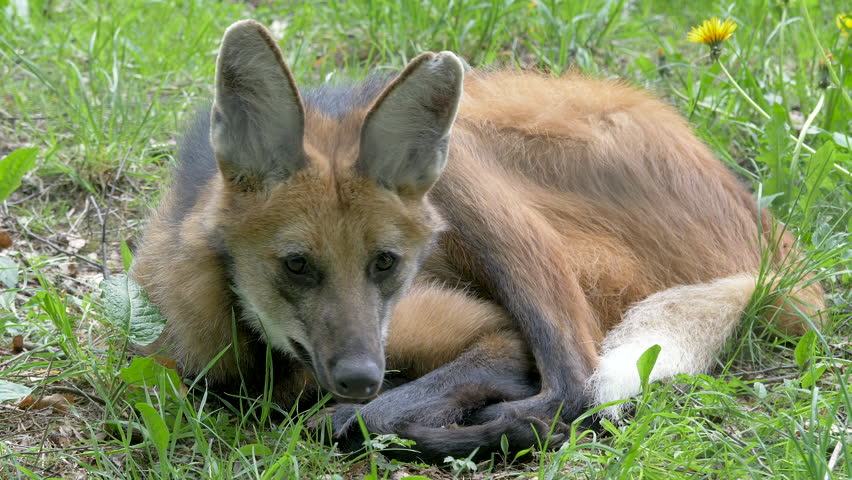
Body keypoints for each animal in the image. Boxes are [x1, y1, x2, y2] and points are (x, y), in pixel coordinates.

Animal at [132, 20, 824, 461]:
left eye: (386, 263)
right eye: (297, 265)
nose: (360, 375)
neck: (261, 353)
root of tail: (769, 234)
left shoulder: (486, 332)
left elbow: (358, 416)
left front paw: (386, 420)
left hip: (468, 165)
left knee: (574, 387)